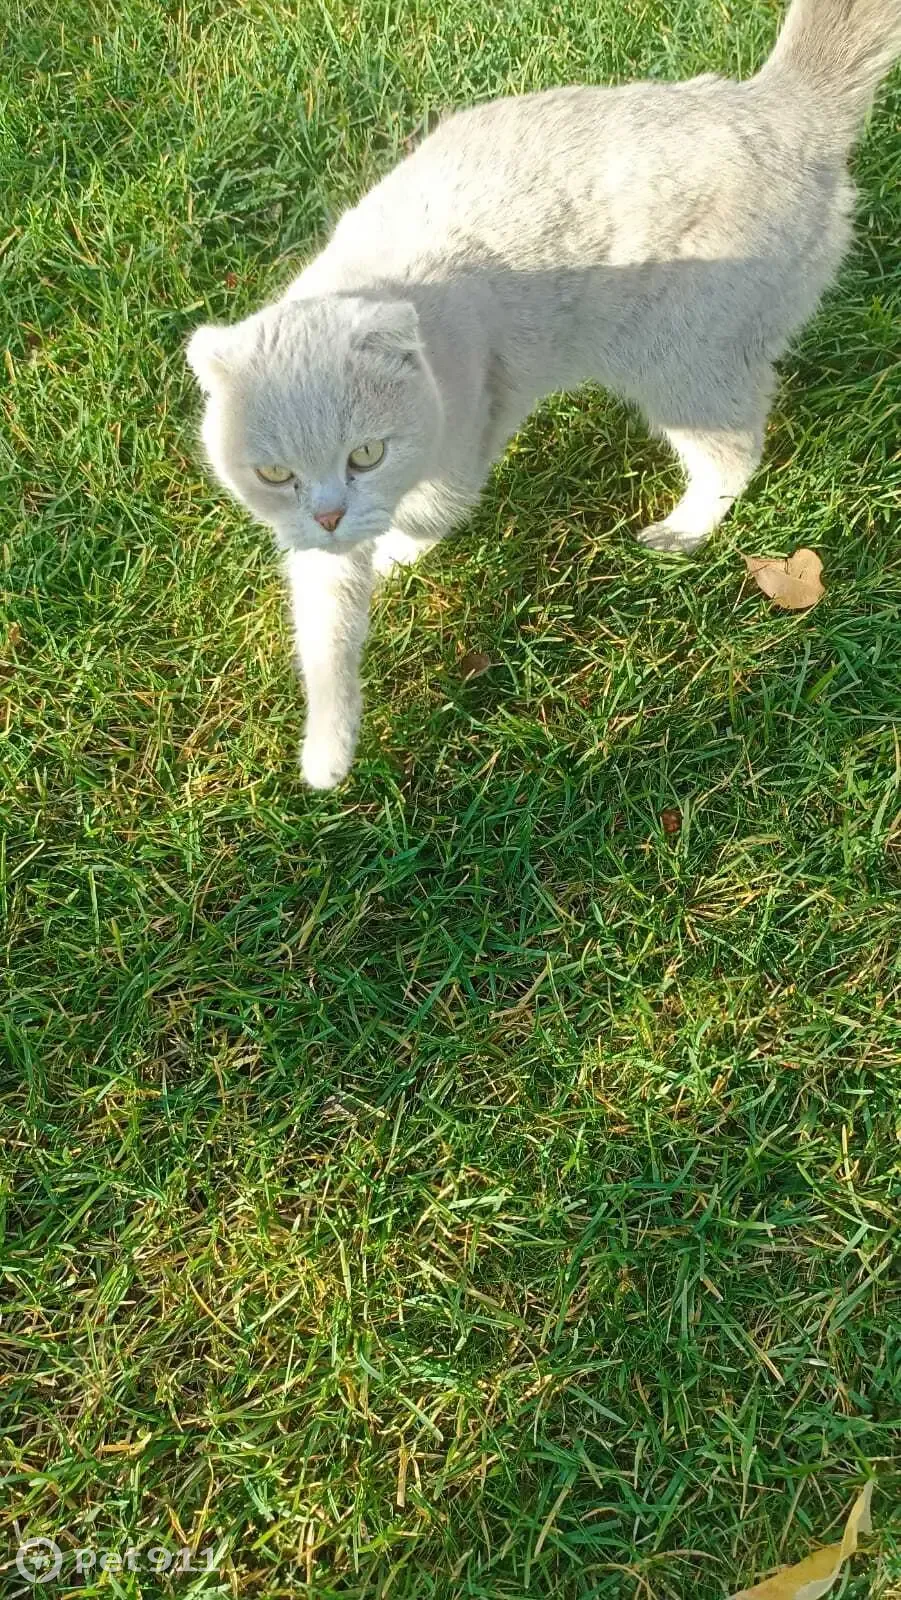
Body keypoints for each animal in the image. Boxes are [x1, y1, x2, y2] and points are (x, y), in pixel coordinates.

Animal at [188, 0, 901, 787]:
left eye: (366, 453)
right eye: (273, 473)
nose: (328, 515)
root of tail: (778, 105)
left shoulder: (465, 441)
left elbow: (423, 523)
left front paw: (390, 560)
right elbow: (326, 625)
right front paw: (327, 749)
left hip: (684, 360)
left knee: (734, 452)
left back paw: (680, 532)